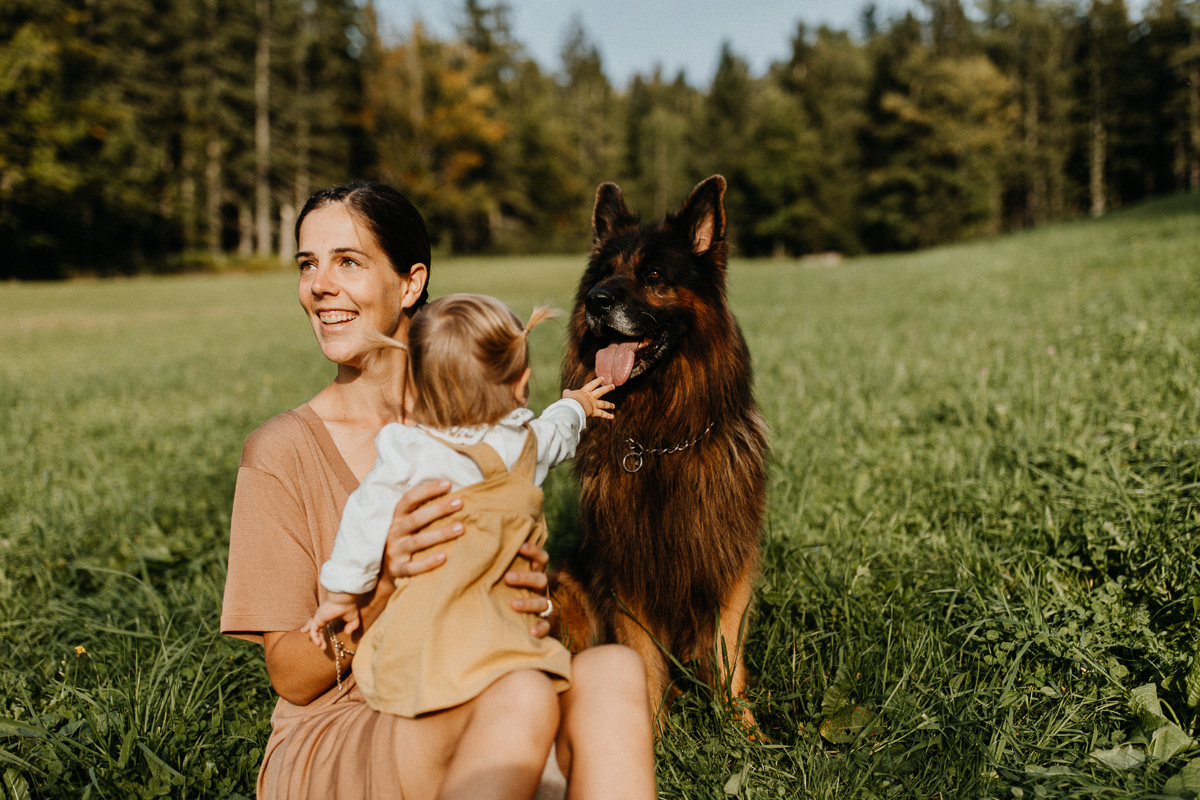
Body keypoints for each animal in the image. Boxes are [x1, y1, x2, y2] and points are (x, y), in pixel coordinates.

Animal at [549, 176, 768, 724]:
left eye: (653, 275)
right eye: (604, 273)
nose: (596, 301)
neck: (662, 439)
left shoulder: (725, 561)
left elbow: (726, 654)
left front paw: (744, 730)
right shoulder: (628, 572)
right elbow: (644, 660)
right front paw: (651, 732)